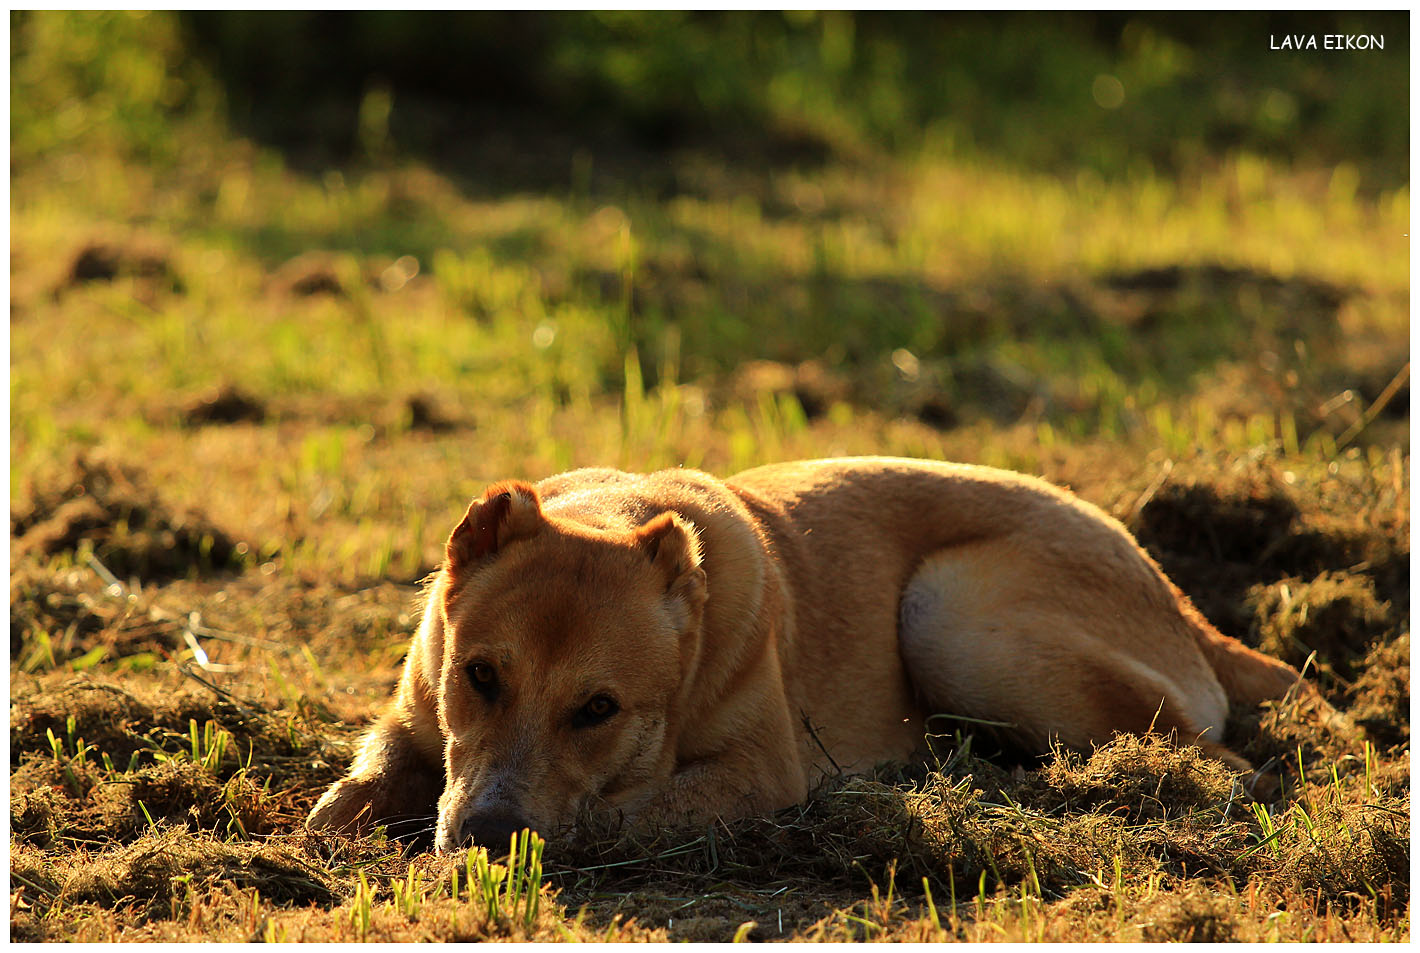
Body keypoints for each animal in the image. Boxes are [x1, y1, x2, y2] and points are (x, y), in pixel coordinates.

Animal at [308, 457, 1300, 852]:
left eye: (599, 709)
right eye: (480, 675)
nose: (485, 835)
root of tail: (1176, 592)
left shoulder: (755, 771)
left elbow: (622, 811)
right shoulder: (411, 715)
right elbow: (349, 793)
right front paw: (354, 814)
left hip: (953, 617)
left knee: (1227, 762)